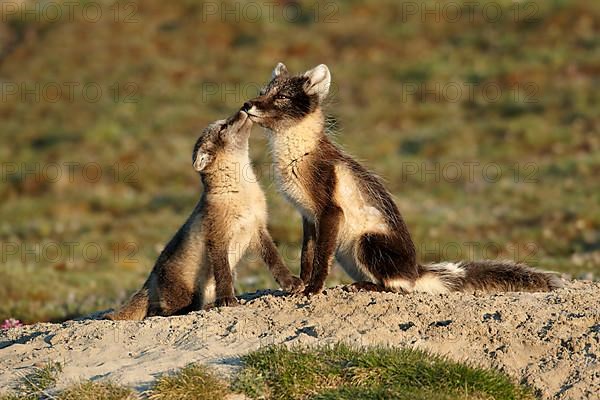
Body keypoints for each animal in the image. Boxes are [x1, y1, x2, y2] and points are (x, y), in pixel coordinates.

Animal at [104, 111, 304, 320]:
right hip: (183, 296)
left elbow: (274, 259)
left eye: (225, 121)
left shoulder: (257, 227)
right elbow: (222, 272)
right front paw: (227, 299)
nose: (243, 109)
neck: (243, 195)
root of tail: (149, 280)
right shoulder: (217, 236)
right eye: (223, 127)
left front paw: (291, 282)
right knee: (158, 312)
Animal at [241, 61, 560, 296]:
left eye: (281, 97)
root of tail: (416, 270)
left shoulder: (330, 210)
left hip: (367, 242)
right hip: (348, 253)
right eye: (263, 91)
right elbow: (307, 256)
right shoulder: (307, 215)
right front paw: (299, 285)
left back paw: (366, 286)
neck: (298, 156)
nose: (247, 105)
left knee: (398, 287)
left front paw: (314, 289)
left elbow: (320, 259)